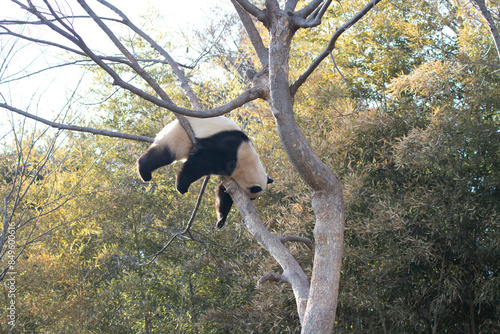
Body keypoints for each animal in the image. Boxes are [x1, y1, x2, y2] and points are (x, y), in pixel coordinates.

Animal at [136, 116, 274, 228]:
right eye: (252, 197)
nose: (251, 205)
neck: (247, 162)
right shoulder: (226, 151)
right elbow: (199, 163)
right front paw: (181, 187)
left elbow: (223, 191)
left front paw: (221, 220)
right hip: (180, 134)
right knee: (165, 154)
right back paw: (144, 172)